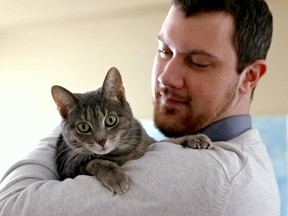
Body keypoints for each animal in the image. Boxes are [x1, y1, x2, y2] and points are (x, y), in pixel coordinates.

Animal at [52, 66, 214, 194]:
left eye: (110, 120)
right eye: (83, 127)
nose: (101, 141)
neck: (123, 152)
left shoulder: (150, 142)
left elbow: (167, 140)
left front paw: (194, 137)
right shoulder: (69, 168)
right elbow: (96, 161)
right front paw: (115, 176)